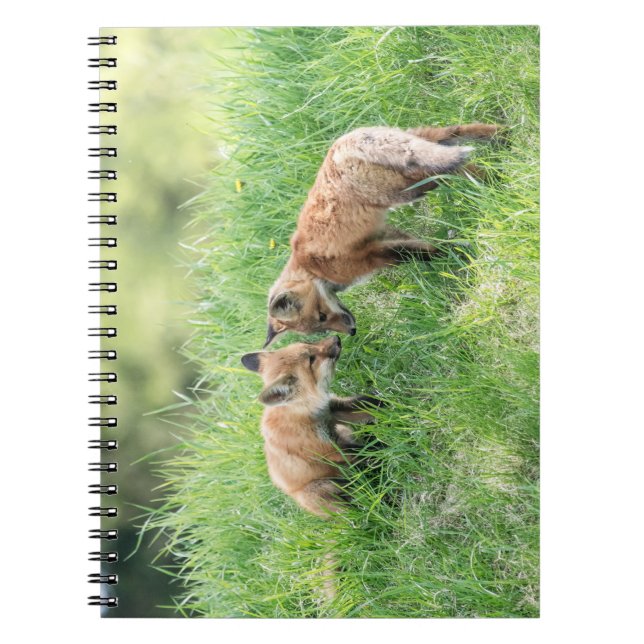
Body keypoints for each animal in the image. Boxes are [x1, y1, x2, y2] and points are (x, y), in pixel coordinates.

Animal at [241, 335, 381, 518]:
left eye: (307, 343)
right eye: (311, 359)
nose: (336, 338)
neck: (303, 416)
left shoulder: (333, 411)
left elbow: (373, 404)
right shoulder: (329, 450)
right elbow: (372, 450)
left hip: (346, 434)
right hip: (323, 490)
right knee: (351, 509)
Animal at [264, 122, 499, 346]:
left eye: (321, 316)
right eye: (320, 329)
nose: (352, 332)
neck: (314, 270)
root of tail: (343, 145)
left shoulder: (373, 253)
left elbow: (421, 253)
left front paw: (453, 254)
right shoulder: (381, 235)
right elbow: (414, 242)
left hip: (410, 188)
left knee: (455, 169)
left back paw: (490, 180)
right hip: (422, 144)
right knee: (457, 132)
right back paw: (500, 140)